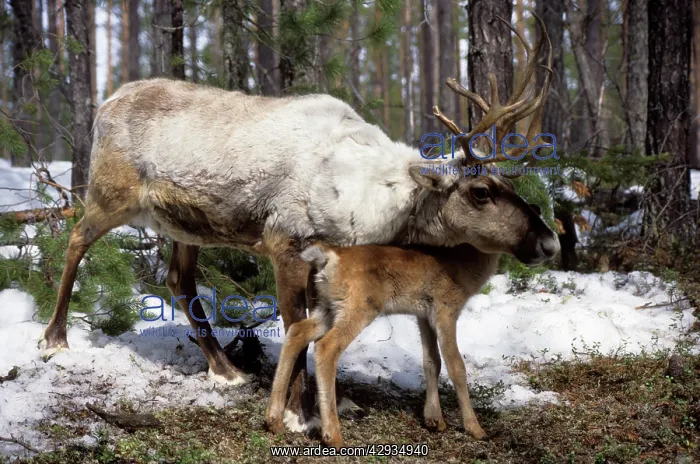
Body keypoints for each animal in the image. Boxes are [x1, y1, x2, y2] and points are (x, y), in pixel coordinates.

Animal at [40, 14, 554, 432]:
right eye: (480, 191)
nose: (548, 241)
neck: (372, 203)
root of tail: (106, 103)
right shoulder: (285, 245)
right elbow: (296, 330)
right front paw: (298, 413)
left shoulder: (322, 264)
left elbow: (312, 331)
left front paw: (333, 404)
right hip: (111, 194)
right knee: (76, 238)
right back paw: (55, 340)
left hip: (187, 224)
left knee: (177, 279)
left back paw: (226, 370)